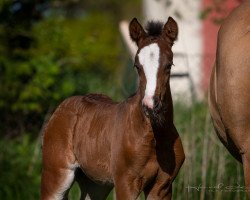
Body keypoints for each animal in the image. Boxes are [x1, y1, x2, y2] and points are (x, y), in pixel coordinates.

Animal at [41, 17, 185, 200]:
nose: (150, 105)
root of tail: (60, 109)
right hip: (56, 175)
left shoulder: (162, 186)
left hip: (96, 184)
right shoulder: (125, 184)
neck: (154, 138)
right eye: (137, 66)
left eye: (169, 65)